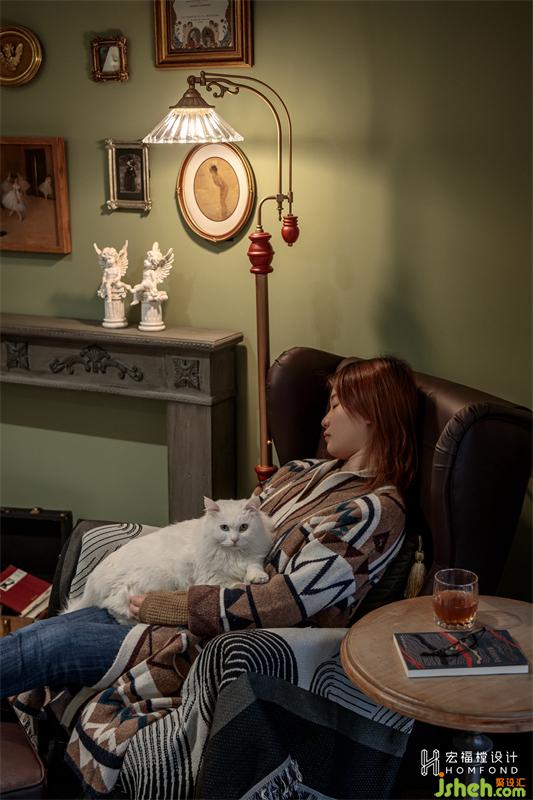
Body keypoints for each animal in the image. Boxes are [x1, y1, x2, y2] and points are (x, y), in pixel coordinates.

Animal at [63, 496, 273, 624]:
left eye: (244, 527)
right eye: (224, 528)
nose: (235, 540)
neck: (233, 554)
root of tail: (93, 580)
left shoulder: (255, 556)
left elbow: (254, 567)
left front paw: (258, 578)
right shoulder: (212, 578)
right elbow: (233, 583)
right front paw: (244, 583)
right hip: (154, 580)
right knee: (113, 607)